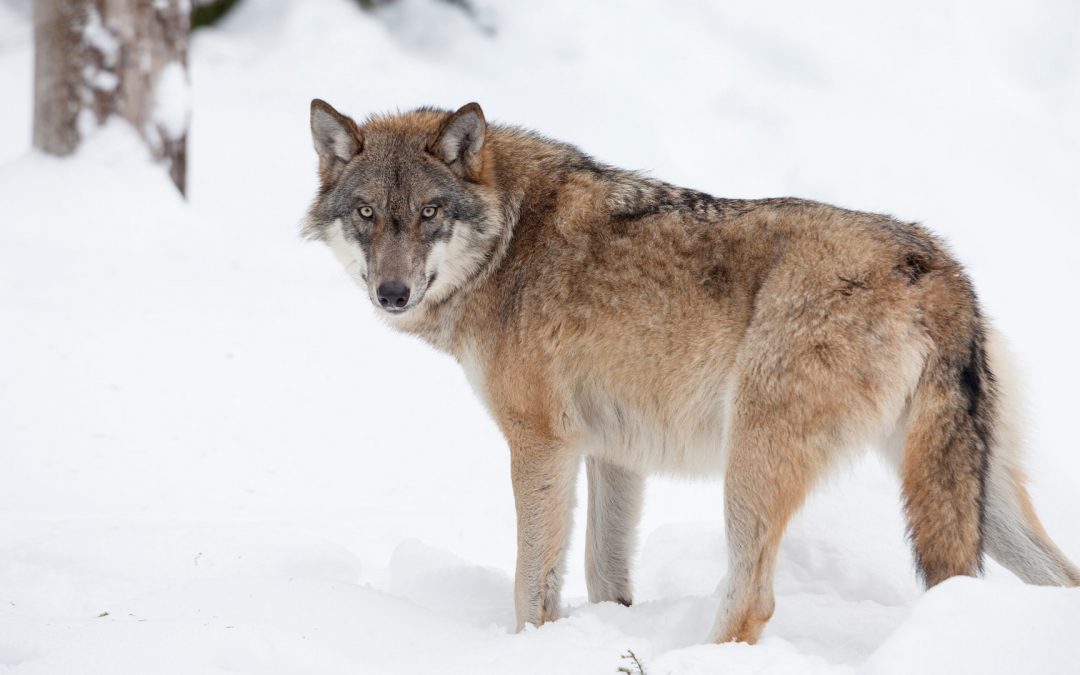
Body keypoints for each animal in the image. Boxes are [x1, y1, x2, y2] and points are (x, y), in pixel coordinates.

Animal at [301, 99, 1080, 643]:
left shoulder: (541, 444)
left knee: (751, 600)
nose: (392, 293)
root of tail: (935, 267)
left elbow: (532, 582)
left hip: (753, 465)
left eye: (430, 212)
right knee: (1060, 577)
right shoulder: (613, 454)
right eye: (367, 213)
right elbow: (604, 574)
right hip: (972, 491)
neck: (509, 241)